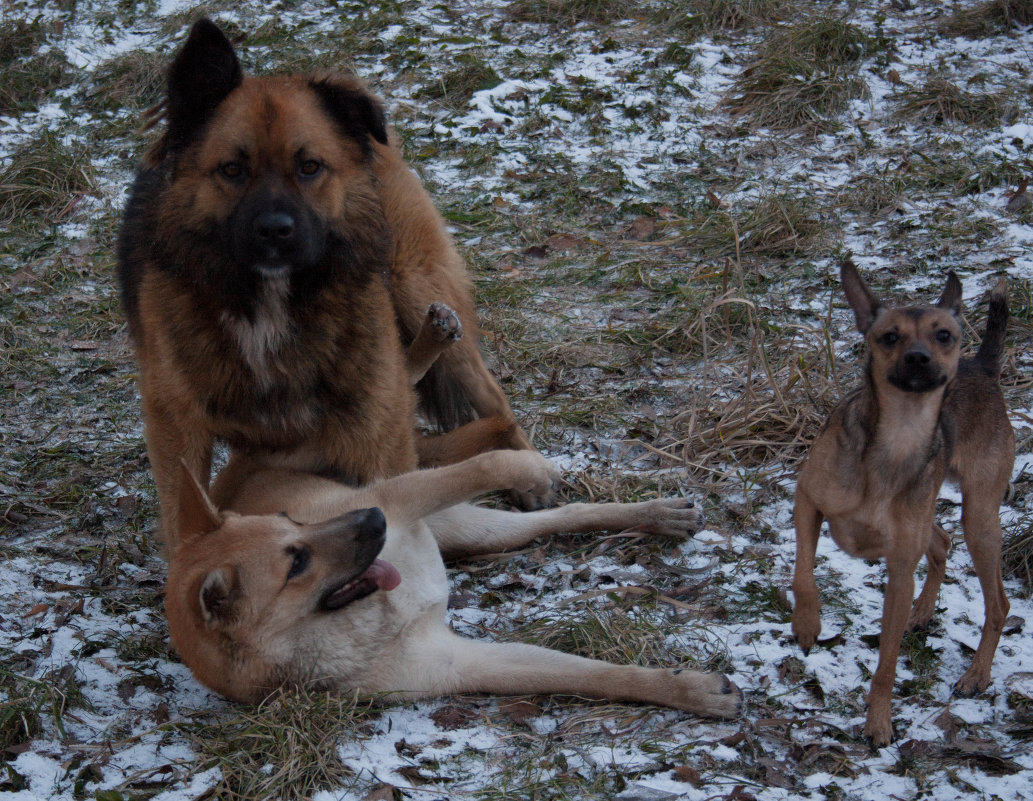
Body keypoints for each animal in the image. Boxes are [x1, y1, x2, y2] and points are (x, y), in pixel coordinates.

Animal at [116, 20, 541, 545]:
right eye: (232, 169)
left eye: (310, 166)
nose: (275, 231)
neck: (272, 302)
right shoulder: (177, 422)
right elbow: (184, 517)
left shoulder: (373, 416)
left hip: (412, 283)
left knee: (492, 400)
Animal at [167, 448, 743, 719]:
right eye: (296, 565)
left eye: (290, 519)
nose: (372, 518)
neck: (371, 618)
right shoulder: (464, 665)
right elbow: (590, 676)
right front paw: (686, 690)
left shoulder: (403, 496)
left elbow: (486, 462)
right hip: (480, 533)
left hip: (467, 523)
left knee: (563, 513)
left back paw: (655, 513)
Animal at [793, 261, 1012, 744]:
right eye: (890, 336)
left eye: (943, 335)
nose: (918, 358)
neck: (896, 440)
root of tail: (982, 367)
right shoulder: (807, 501)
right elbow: (804, 575)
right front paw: (807, 624)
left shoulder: (898, 574)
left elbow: (887, 664)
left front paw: (878, 721)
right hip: (936, 515)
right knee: (943, 541)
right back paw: (924, 612)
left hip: (980, 520)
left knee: (998, 604)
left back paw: (977, 674)